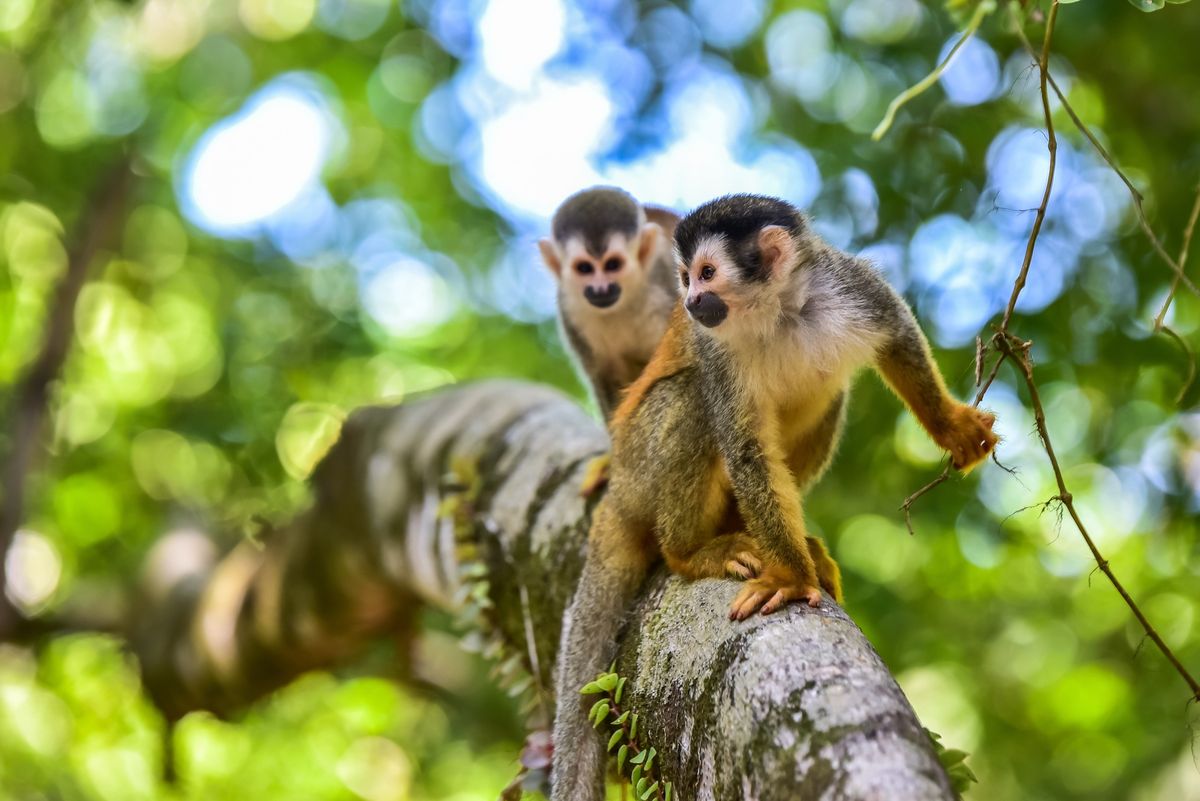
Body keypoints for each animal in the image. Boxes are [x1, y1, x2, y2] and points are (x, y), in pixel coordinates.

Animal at [549, 194, 998, 801]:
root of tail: (618, 485)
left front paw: (950, 425)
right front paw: (790, 576)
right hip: (641, 464)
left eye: (706, 274)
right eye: (686, 278)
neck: (779, 311)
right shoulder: (717, 350)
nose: (689, 302)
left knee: (831, 395)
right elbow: (744, 448)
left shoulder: (848, 286)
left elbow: (898, 334)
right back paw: (690, 551)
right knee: (690, 396)